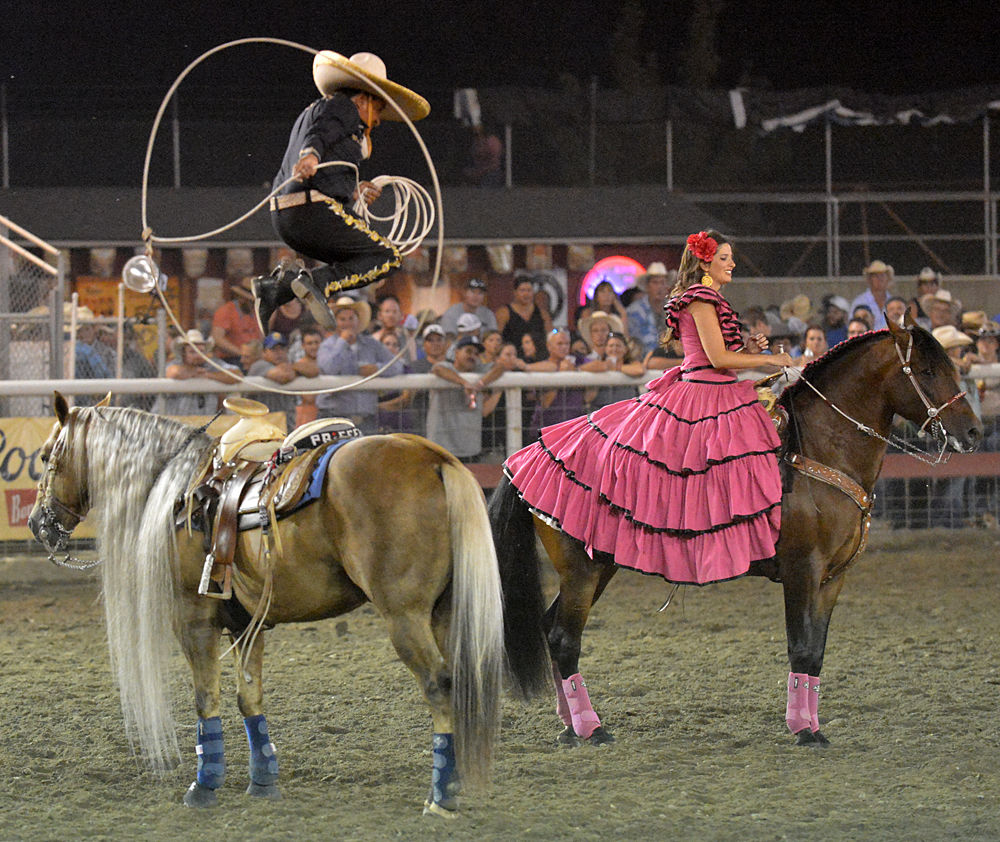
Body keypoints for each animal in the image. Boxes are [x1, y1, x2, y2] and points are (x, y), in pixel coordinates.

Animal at [25, 394, 548, 812]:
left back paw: (441, 794)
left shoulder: (192, 617)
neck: (177, 489)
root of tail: (430, 455)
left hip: (405, 617)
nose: (37, 523)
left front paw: (204, 784)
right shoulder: (245, 624)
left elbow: (206, 697)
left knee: (440, 684)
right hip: (444, 611)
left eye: (48, 456)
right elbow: (248, 697)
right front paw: (263, 780)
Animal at [492, 318, 984, 744]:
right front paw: (803, 730)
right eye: (926, 370)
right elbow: (800, 647)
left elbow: (818, 651)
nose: (974, 432)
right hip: (583, 570)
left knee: (551, 627)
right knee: (564, 638)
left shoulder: (833, 578)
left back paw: (569, 724)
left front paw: (813, 725)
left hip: (600, 567)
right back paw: (591, 728)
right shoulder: (802, 570)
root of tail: (526, 455)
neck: (818, 448)